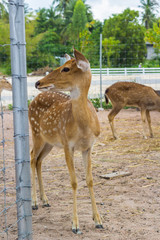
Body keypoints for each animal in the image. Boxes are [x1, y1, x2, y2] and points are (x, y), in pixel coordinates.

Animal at [28, 49, 103, 234]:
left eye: (66, 68)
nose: (37, 82)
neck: (83, 128)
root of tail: (32, 101)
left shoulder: (88, 147)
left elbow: (90, 180)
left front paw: (98, 220)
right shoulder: (68, 145)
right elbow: (74, 181)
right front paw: (75, 225)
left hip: (49, 142)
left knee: (39, 160)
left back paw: (45, 200)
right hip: (36, 133)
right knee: (32, 157)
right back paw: (34, 202)